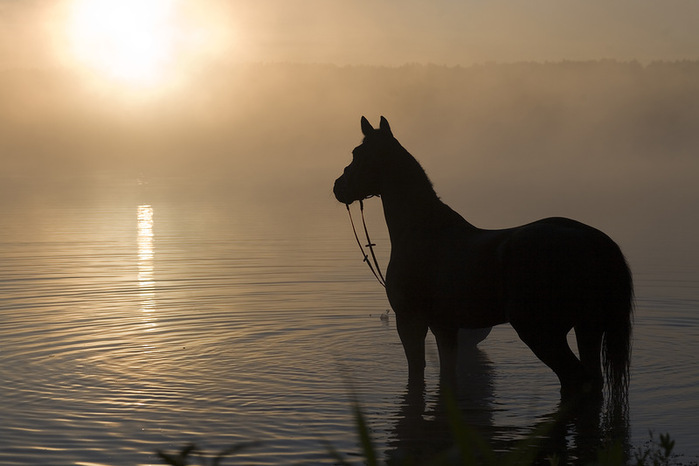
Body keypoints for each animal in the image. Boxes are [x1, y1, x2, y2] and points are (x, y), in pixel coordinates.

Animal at [334, 115, 636, 404]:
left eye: (358, 154)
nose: (338, 187)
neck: (423, 230)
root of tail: (592, 239)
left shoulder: (410, 322)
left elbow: (417, 375)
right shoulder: (445, 327)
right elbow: (447, 376)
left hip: (542, 332)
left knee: (575, 378)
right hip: (588, 327)